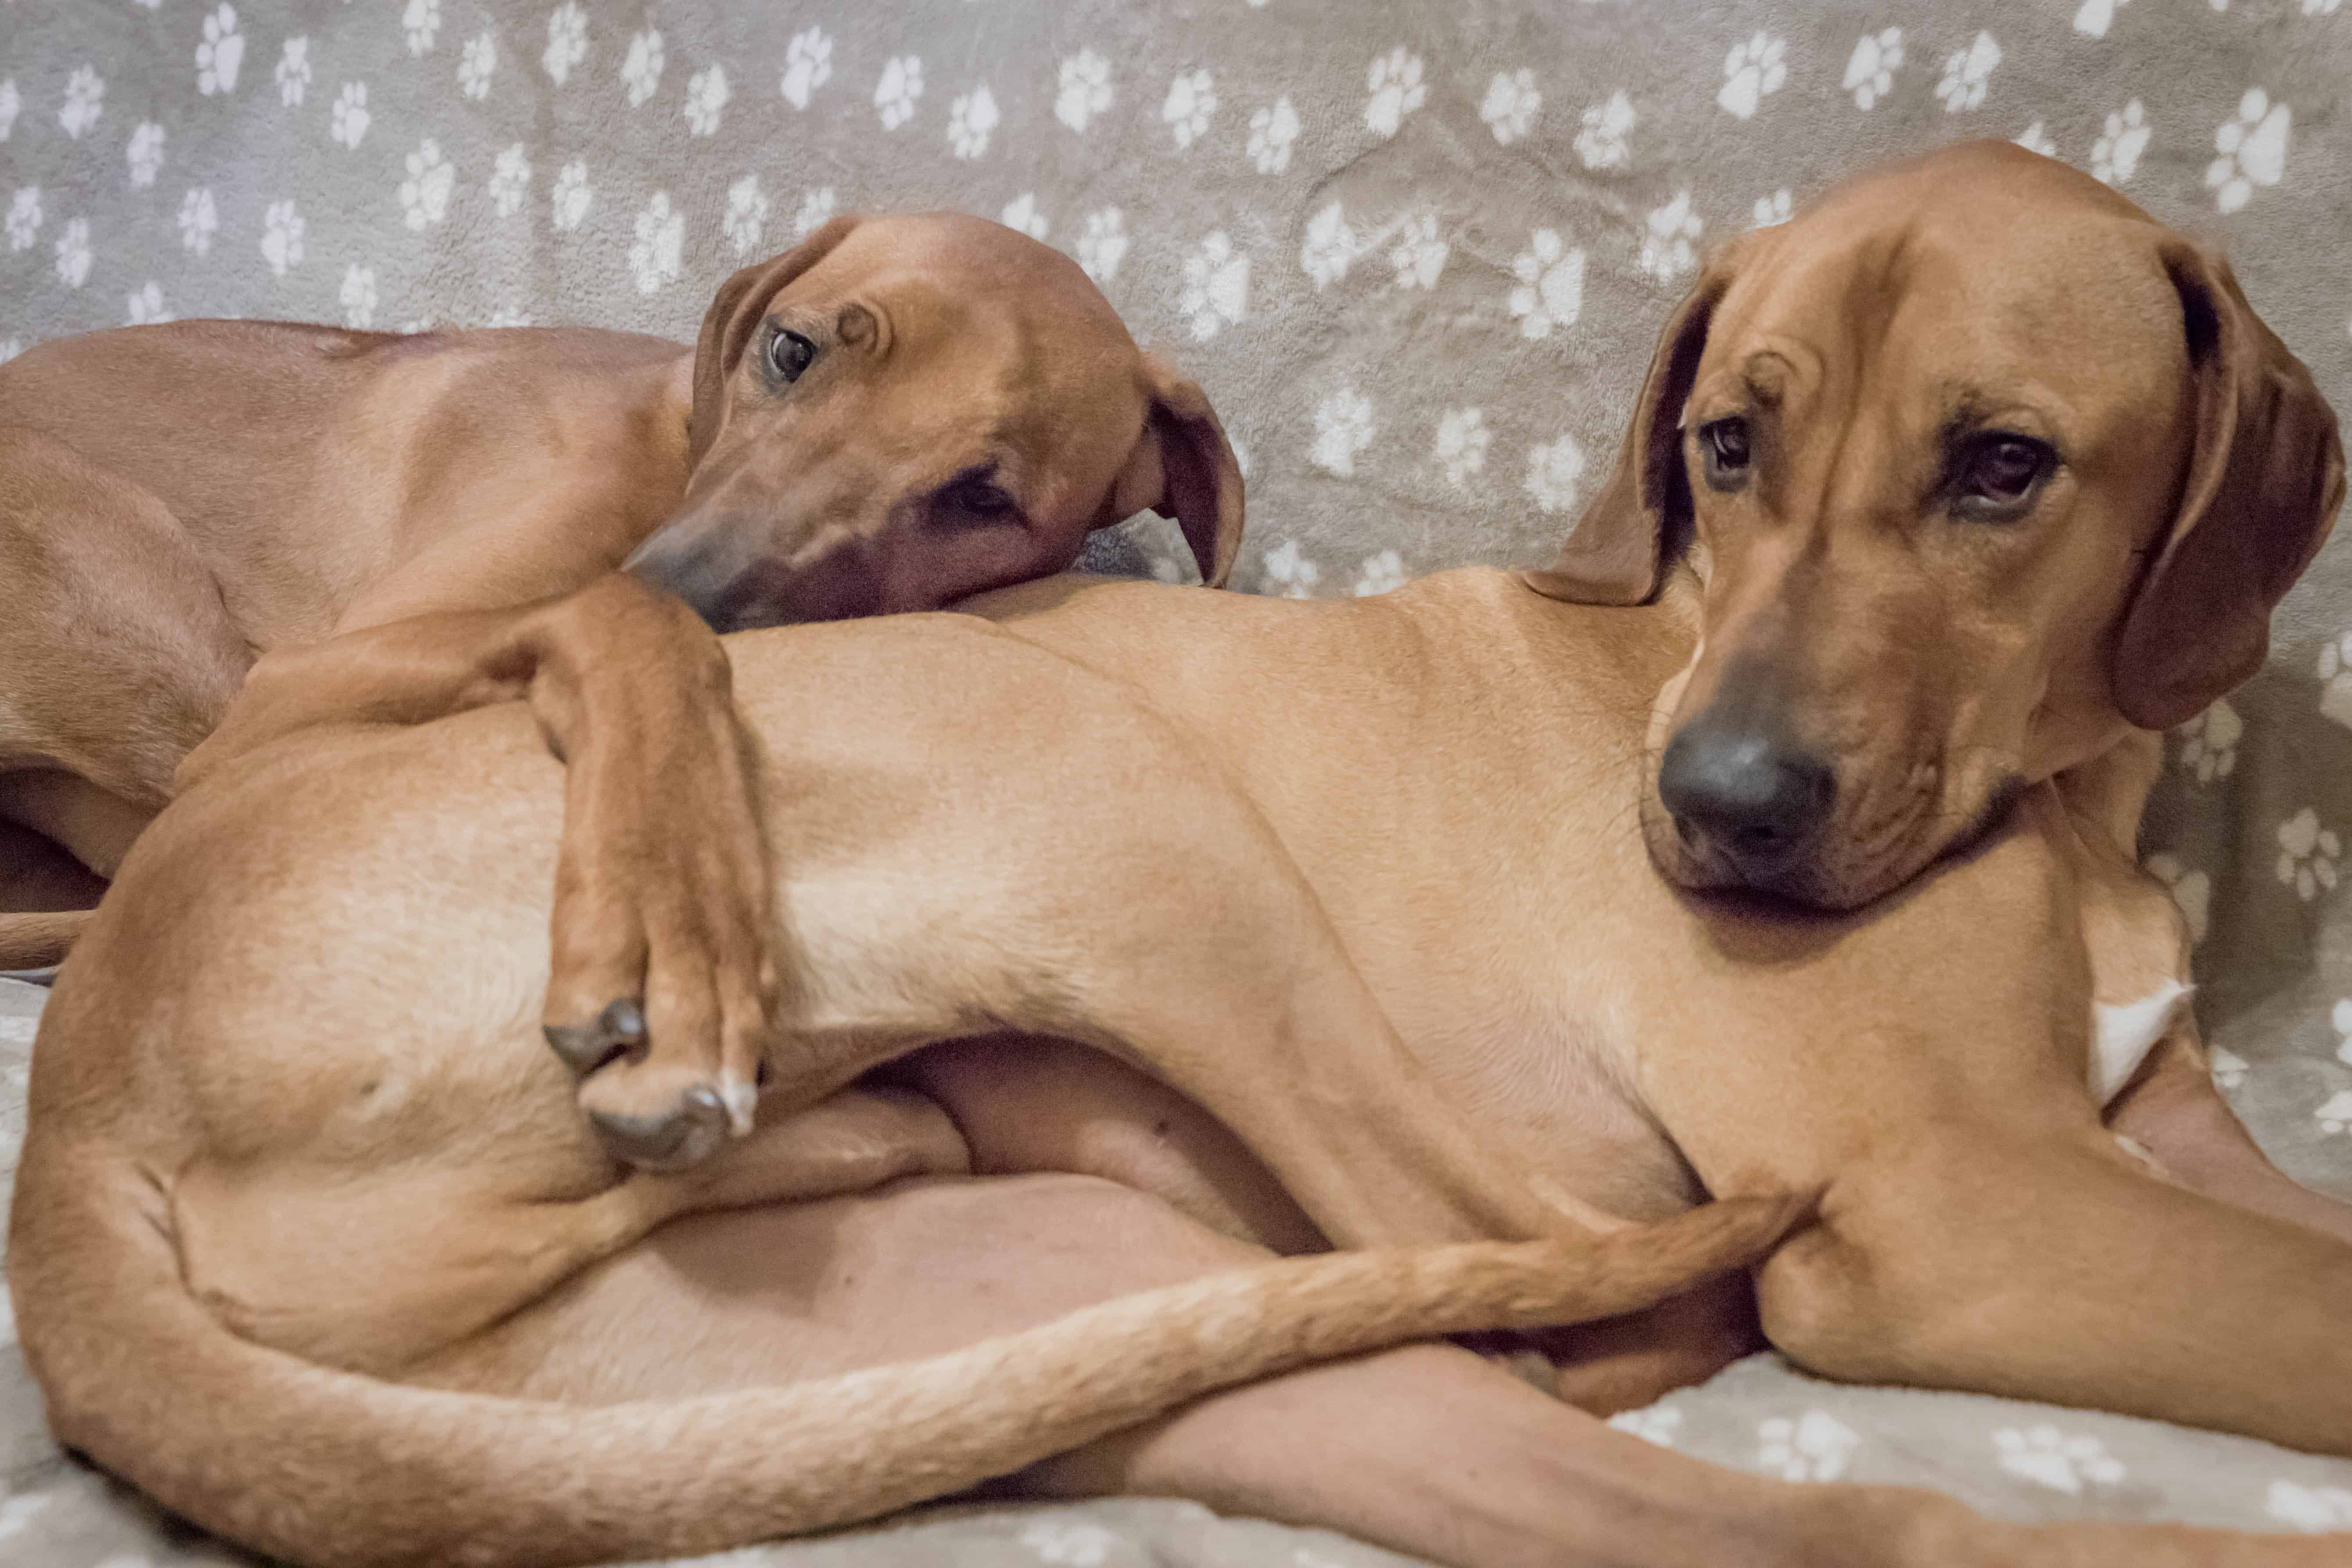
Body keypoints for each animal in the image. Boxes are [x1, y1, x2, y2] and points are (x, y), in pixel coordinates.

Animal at [0, 215, 1242, 1161]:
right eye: (792, 352)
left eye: (983, 498)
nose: (695, 582)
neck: (673, 445)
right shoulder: (291, 683)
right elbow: (630, 621)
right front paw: (672, 936)